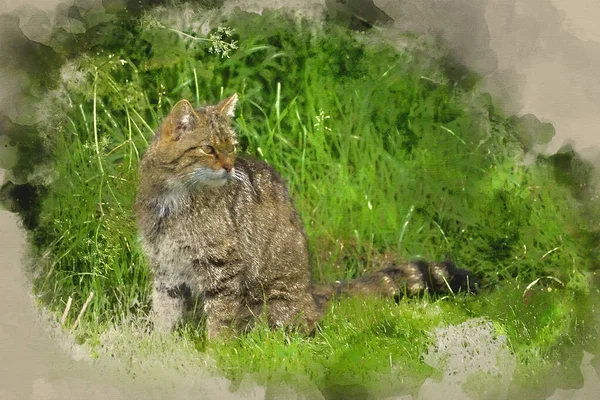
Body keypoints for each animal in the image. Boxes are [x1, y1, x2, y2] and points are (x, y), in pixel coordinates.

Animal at [134, 94, 476, 340]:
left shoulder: (222, 267)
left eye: (232, 147)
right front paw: (160, 348)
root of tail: (311, 295)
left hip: (270, 305)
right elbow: (164, 314)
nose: (230, 166)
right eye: (208, 149)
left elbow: (221, 320)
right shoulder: (166, 269)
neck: (172, 201)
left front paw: (216, 354)